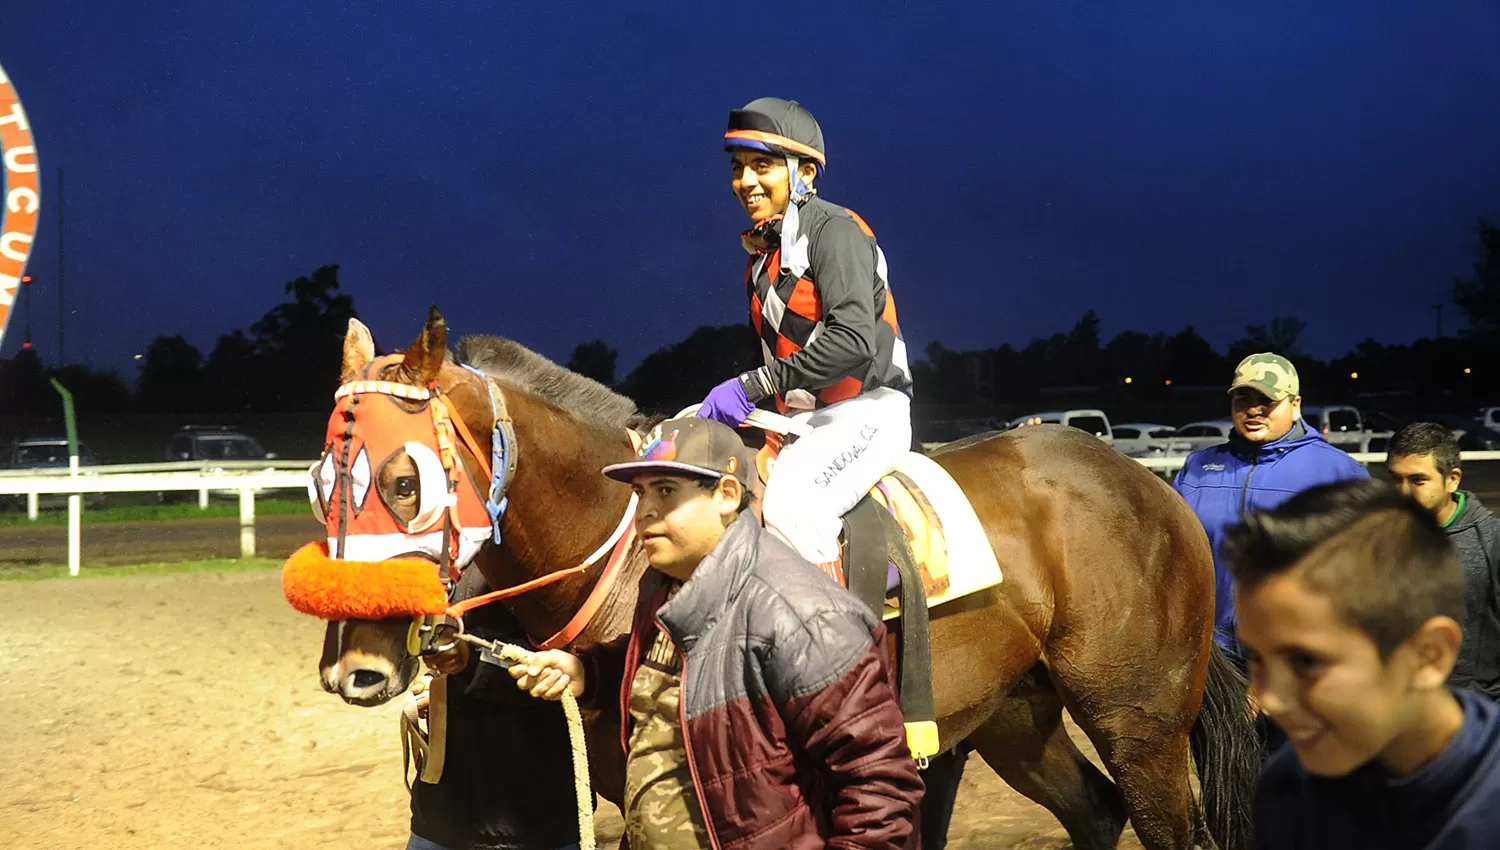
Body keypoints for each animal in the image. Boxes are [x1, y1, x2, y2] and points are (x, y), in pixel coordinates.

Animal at [310, 310, 1260, 850]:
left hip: (1139, 724)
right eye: (322, 481)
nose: (352, 670)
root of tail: (1150, 484)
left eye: (405, 481)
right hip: (1014, 715)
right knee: (1094, 812)